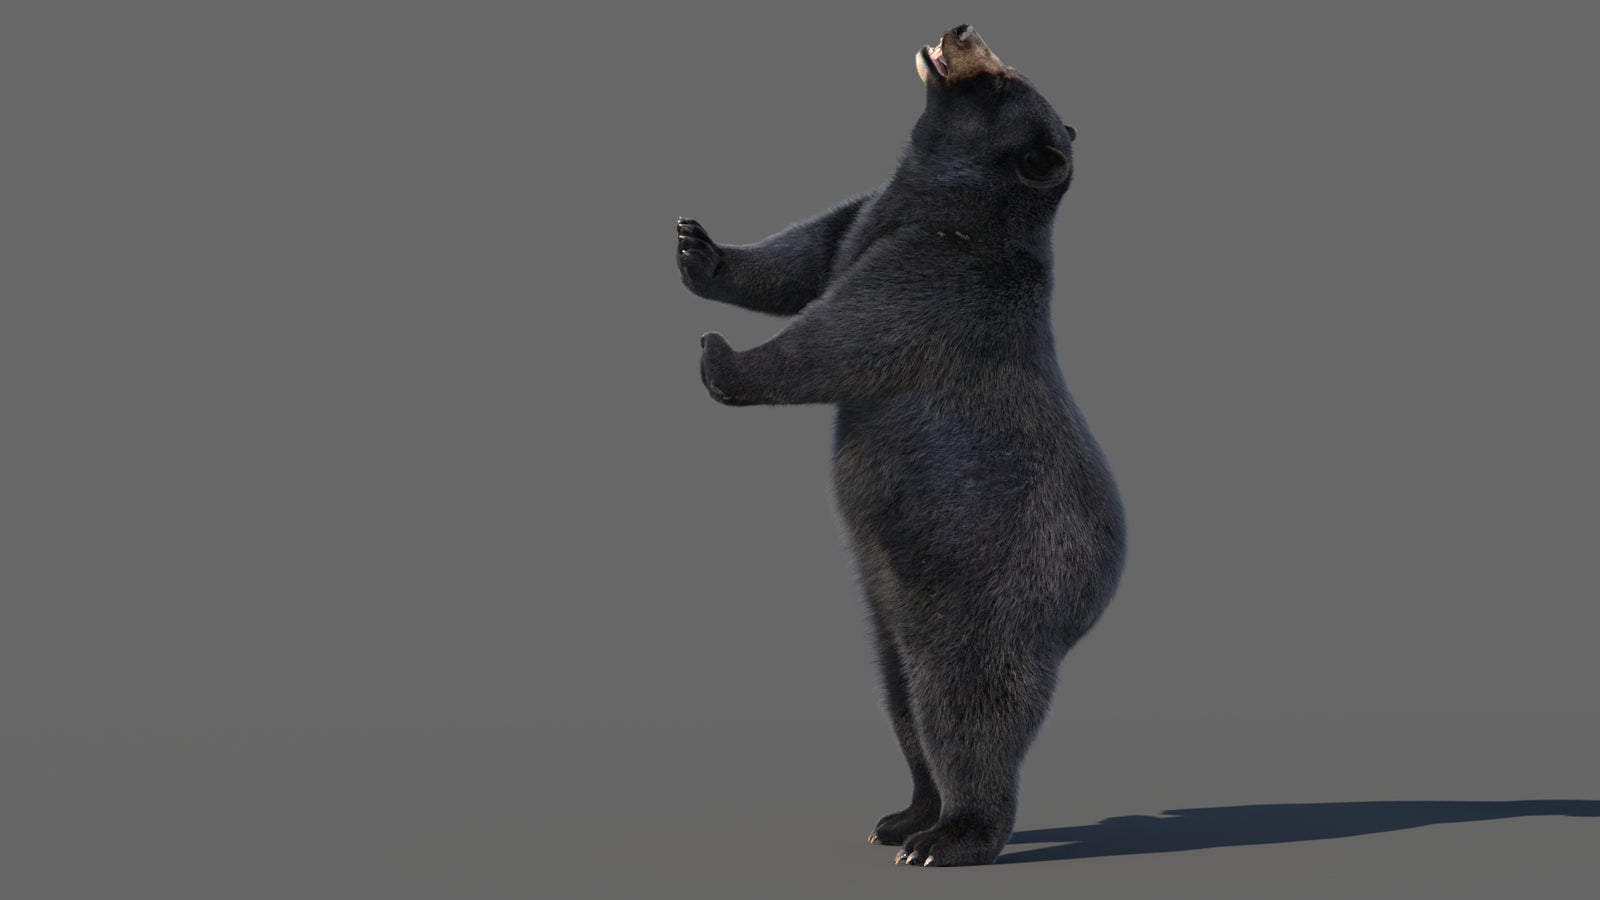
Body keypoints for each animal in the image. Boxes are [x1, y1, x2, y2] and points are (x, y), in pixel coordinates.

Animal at [676, 24, 1126, 867]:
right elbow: (802, 256)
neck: (935, 199)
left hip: (990, 595)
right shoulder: (864, 222)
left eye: (1002, 79)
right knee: (902, 703)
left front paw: (721, 358)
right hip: (890, 609)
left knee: (965, 708)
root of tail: (1092, 602)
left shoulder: (943, 276)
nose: (959, 29)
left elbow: (845, 333)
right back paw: (905, 814)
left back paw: (952, 836)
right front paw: (698, 249)